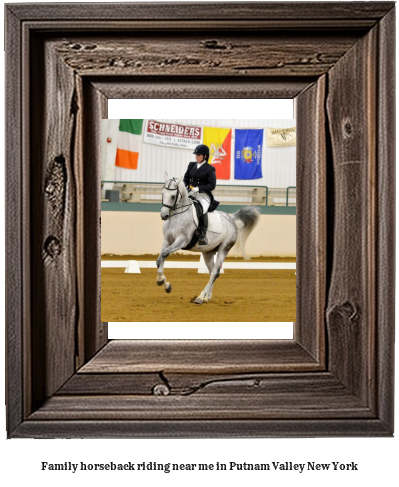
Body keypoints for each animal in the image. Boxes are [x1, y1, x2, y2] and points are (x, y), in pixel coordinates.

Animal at [156, 174, 260, 304]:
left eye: (173, 196)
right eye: (162, 193)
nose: (163, 215)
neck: (177, 216)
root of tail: (231, 219)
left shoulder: (182, 241)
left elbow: (164, 254)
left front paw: (161, 281)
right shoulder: (167, 240)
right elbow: (159, 260)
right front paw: (166, 285)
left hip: (224, 248)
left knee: (215, 272)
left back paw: (200, 297)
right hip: (208, 252)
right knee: (212, 272)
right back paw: (207, 297)